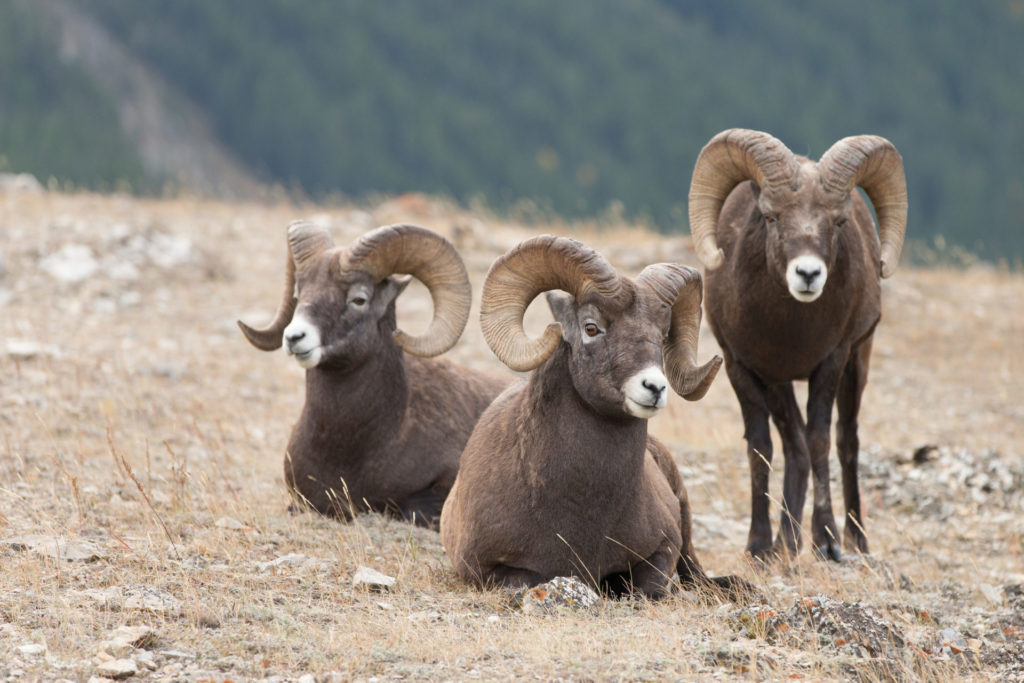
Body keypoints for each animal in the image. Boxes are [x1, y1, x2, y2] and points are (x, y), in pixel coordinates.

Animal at [440, 235, 745, 598]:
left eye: (661, 336)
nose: (655, 387)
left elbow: (648, 587)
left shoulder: (664, 548)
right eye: (591, 328)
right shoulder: (486, 569)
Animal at [692, 127, 909, 561]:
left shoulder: (830, 363)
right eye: (770, 216)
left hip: (857, 365)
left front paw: (825, 541)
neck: (786, 331)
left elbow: (820, 439)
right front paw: (758, 547)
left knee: (845, 442)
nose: (807, 274)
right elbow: (761, 448)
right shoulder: (743, 369)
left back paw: (853, 541)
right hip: (779, 387)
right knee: (794, 448)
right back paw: (785, 546)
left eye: (839, 221)